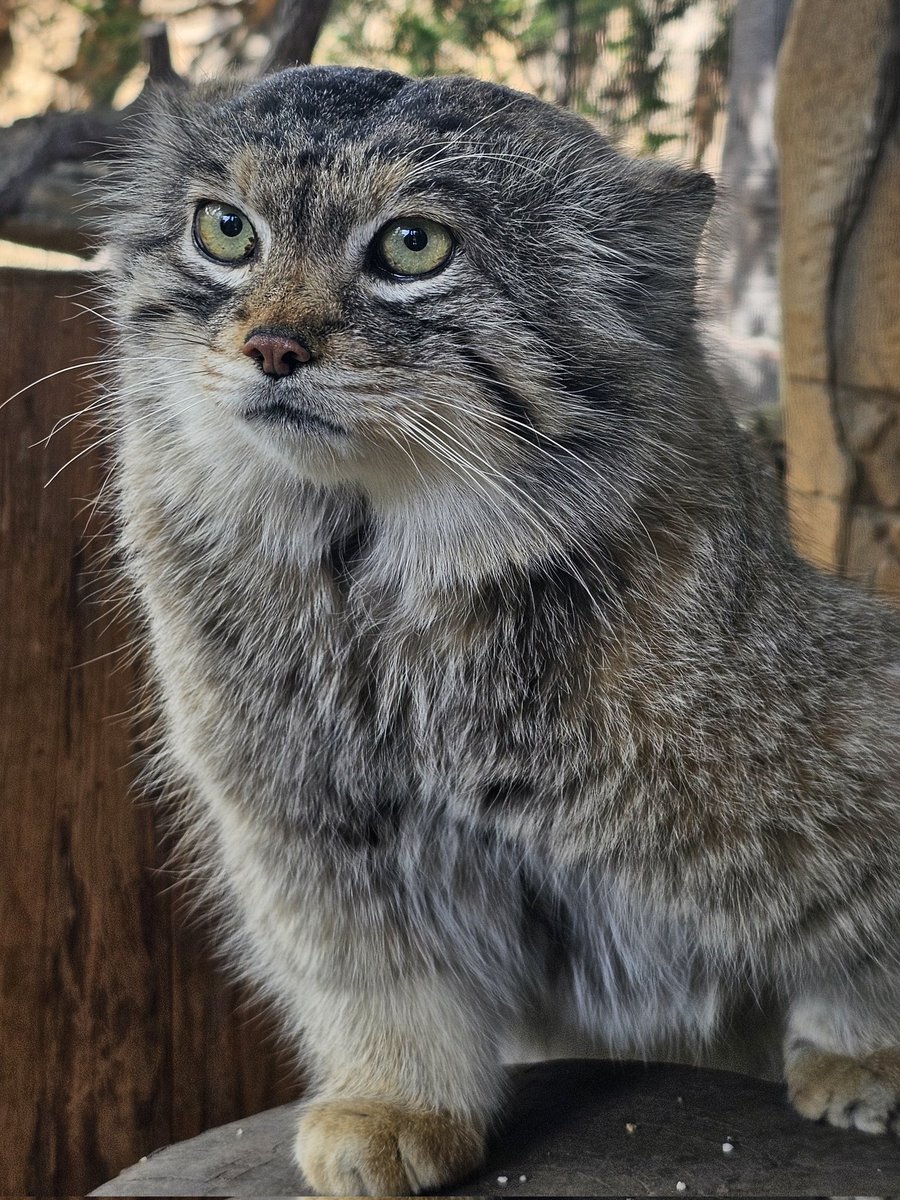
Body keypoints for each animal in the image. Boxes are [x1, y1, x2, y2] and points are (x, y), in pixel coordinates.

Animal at [103, 70, 900, 1195]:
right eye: (225, 230)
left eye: (412, 246)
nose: (269, 346)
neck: (374, 589)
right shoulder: (308, 821)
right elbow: (379, 975)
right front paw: (397, 1099)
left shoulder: (854, 714)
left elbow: (863, 936)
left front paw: (865, 1049)